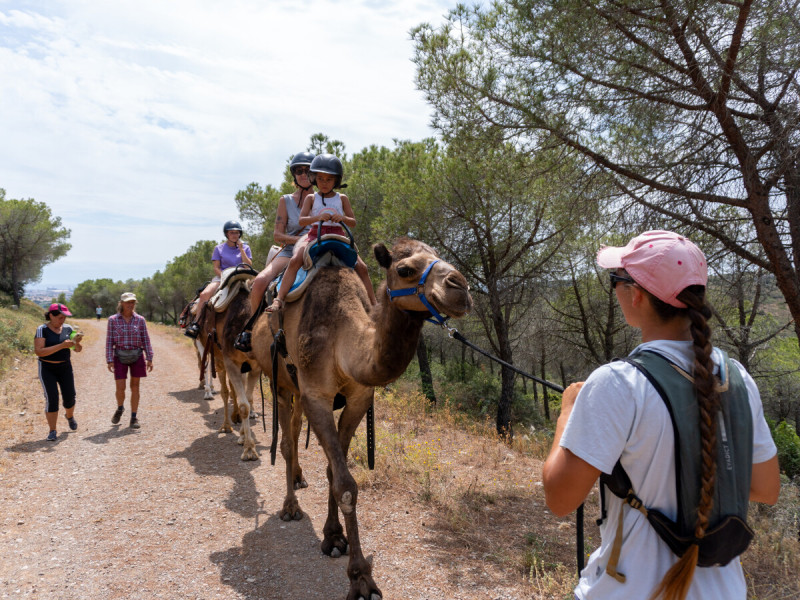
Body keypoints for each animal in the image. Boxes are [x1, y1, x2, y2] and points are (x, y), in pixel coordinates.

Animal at [253, 238, 472, 600]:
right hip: (280, 382)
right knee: (285, 441)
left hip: (297, 390)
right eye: (404, 269)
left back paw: (298, 480)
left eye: (440, 256)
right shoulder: (317, 396)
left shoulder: (357, 399)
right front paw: (360, 580)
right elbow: (345, 485)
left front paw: (333, 537)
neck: (342, 339)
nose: (460, 288)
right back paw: (290, 508)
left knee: (295, 432)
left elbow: (333, 471)